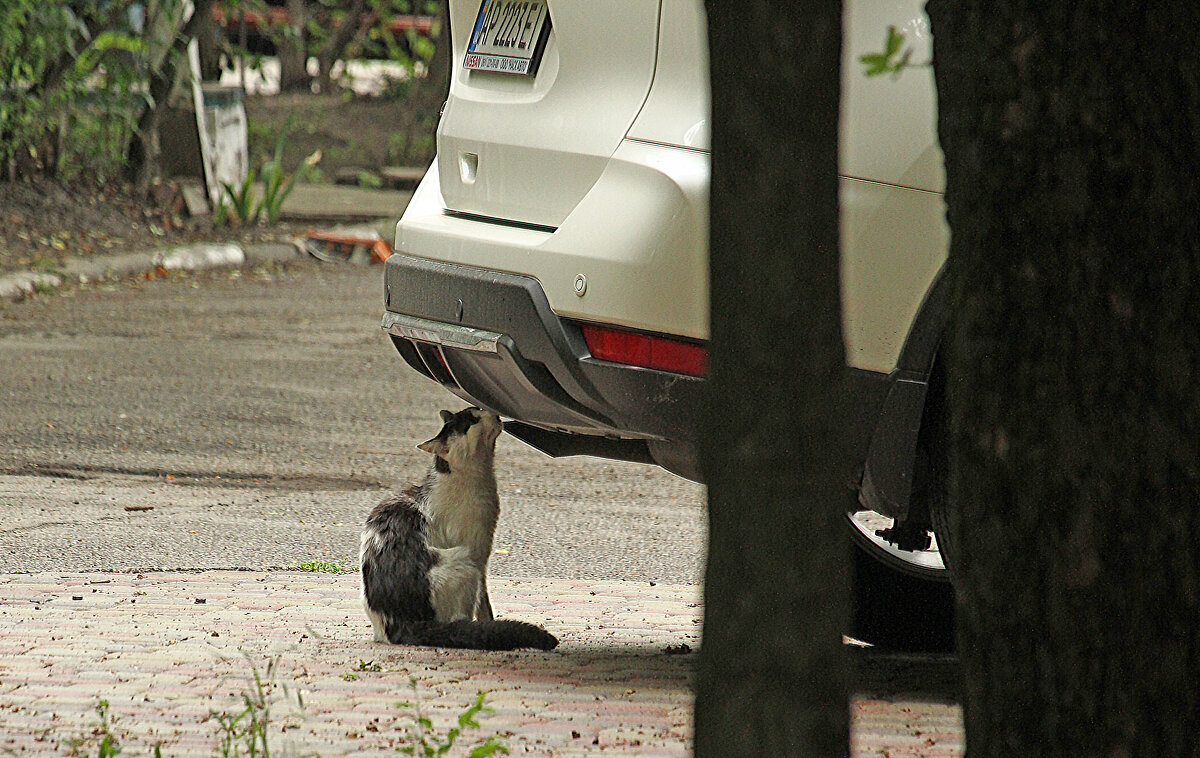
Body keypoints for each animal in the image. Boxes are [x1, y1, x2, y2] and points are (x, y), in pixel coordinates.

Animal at [357, 407, 559, 652]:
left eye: (476, 410)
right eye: (472, 421)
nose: (495, 414)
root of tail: (399, 623)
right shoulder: (478, 556)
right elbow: (484, 606)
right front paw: (489, 625)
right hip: (463, 562)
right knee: (459, 620)